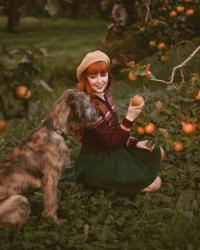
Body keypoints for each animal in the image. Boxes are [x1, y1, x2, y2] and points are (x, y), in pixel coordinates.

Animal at [0, 89, 97, 229]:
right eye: (88, 102)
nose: (98, 113)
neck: (54, 128)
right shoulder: (50, 178)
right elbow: (52, 202)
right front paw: (54, 221)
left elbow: (55, 197)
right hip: (21, 200)